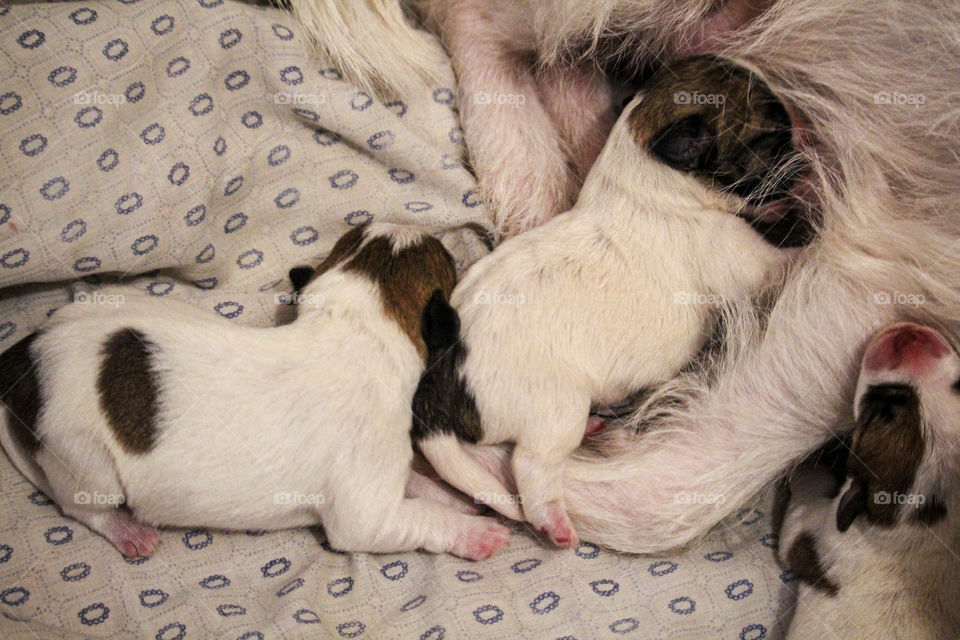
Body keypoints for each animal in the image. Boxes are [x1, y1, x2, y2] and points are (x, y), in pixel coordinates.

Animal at [0, 221, 510, 560]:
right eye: (448, 259)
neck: (358, 323)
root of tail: (27, 351)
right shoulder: (367, 514)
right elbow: (415, 518)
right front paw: (475, 533)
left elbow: (419, 483)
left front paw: (451, 494)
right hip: (84, 460)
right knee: (83, 509)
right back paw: (129, 532)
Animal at [410, 57, 796, 544]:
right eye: (772, 137)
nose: (802, 135)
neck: (643, 173)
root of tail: (441, 375)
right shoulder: (743, 256)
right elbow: (781, 259)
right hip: (556, 408)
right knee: (530, 468)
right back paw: (554, 523)